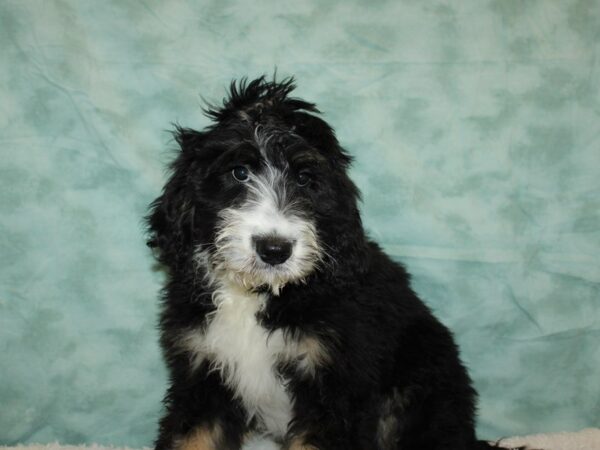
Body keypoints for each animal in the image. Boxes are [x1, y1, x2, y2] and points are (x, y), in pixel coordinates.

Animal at [146, 77, 520, 450]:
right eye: (239, 173)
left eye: (305, 180)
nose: (274, 249)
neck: (259, 294)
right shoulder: (202, 372)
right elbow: (193, 436)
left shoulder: (334, 384)